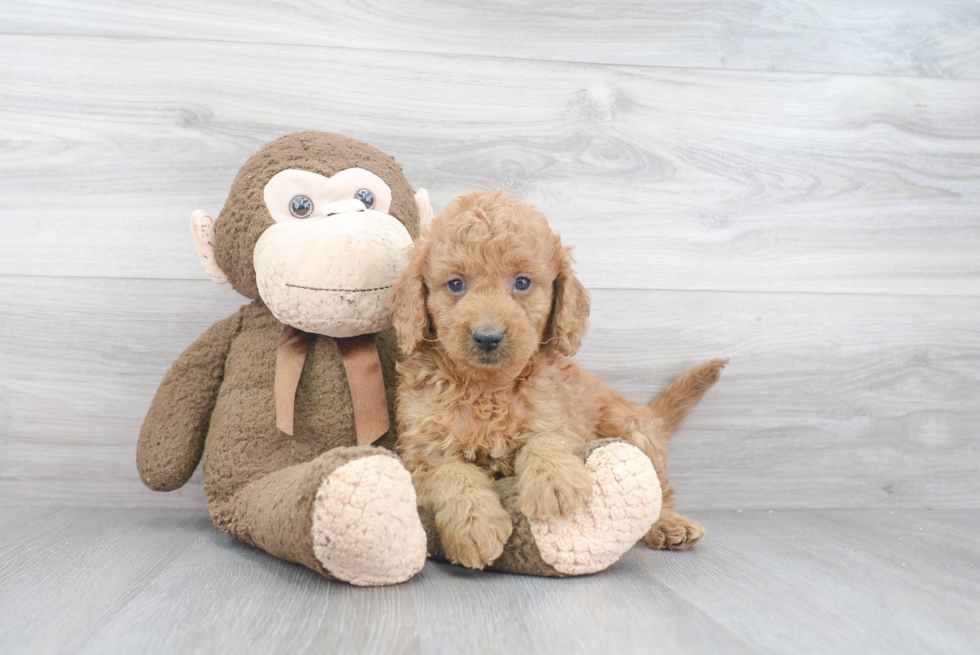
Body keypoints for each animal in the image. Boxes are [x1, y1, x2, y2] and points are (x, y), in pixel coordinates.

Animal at [392, 190, 728, 568]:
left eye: (522, 282)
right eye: (456, 284)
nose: (488, 337)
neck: (489, 388)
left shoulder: (559, 412)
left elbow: (548, 438)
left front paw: (554, 483)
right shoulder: (422, 455)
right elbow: (452, 473)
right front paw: (475, 526)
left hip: (633, 427)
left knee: (657, 489)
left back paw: (668, 524)